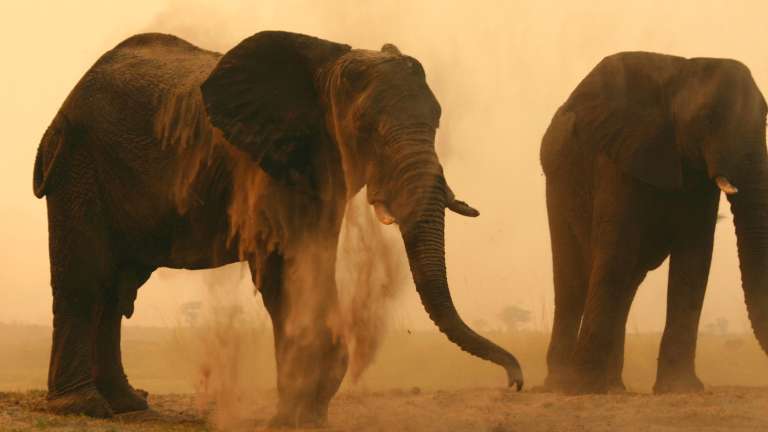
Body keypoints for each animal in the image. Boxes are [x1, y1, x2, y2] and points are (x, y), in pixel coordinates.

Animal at [32, 31, 523, 425]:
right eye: (368, 128)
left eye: (438, 119)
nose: (514, 382)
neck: (328, 69)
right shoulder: (265, 163)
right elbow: (284, 271)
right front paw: (293, 415)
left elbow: (313, 264)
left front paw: (308, 412)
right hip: (79, 163)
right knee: (87, 280)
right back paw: (85, 406)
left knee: (115, 290)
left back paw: (128, 404)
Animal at [540, 51, 768, 394]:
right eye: (707, 118)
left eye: (765, 118)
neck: (681, 72)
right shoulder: (620, 154)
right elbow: (617, 250)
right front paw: (584, 387)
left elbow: (694, 258)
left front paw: (681, 388)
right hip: (558, 185)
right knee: (574, 282)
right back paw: (561, 384)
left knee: (625, 285)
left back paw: (614, 387)